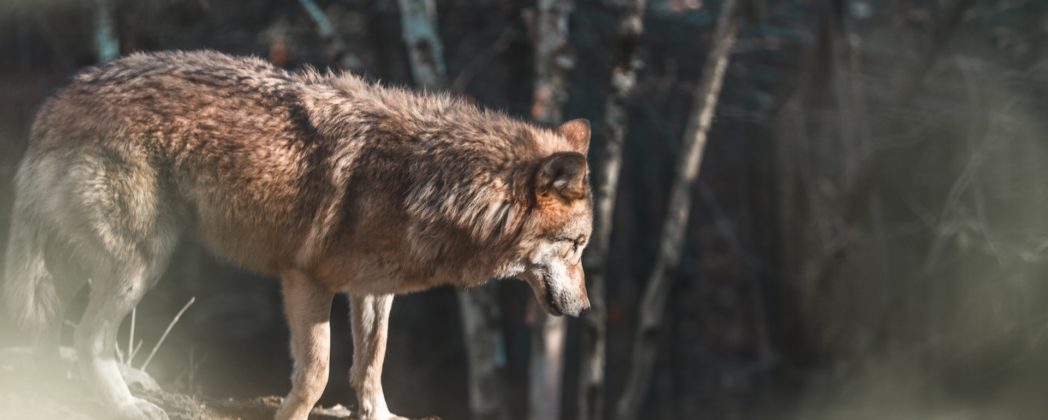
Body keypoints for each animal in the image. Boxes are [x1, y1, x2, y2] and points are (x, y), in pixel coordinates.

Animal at [2, 50, 592, 420]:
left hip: (85, 264)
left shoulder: (373, 290)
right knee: (86, 338)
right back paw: (125, 405)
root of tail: (57, 100)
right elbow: (317, 373)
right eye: (579, 245)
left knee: (57, 334)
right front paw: (290, 415)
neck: (430, 180)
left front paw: (381, 414)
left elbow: (370, 364)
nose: (587, 309)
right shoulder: (306, 280)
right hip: (138, 263)